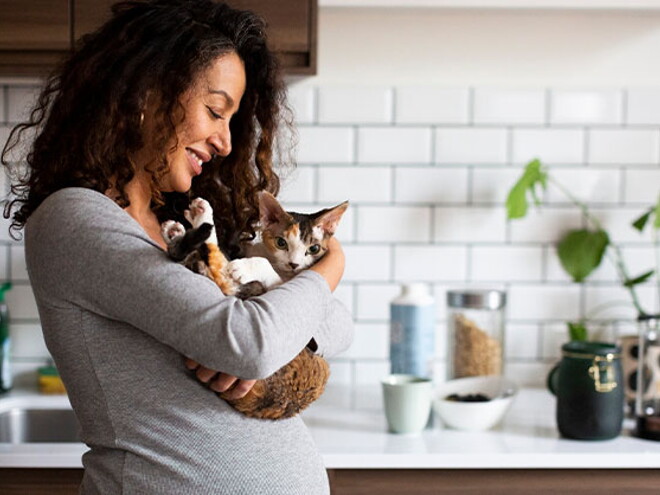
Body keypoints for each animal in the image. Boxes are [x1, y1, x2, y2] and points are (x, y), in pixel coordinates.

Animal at [162, 192, 348, 420]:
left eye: (313, 249)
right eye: (281, 243)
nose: (294, 264)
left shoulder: (283, 286)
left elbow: (264, 270)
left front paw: (246, 267)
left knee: (223, 275)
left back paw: (195, 224)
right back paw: (182, 230)